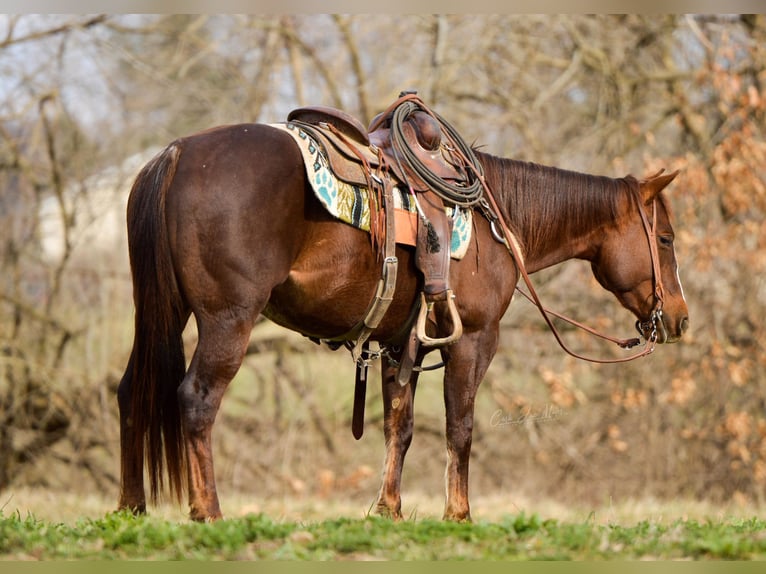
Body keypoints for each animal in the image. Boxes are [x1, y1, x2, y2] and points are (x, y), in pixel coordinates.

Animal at [117, 120, 692, 520]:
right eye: (665, 239)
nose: (680, 319)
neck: (497, 219)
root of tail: (178, 153)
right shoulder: (473, 341)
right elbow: (460, 427)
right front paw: (458, 514)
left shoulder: (399, 346)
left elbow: (400, 424)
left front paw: (388, 509)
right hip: (228, 320)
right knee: (197, 399)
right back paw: (208, 512)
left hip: (161, 313)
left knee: (130, 394)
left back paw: (131, 508)